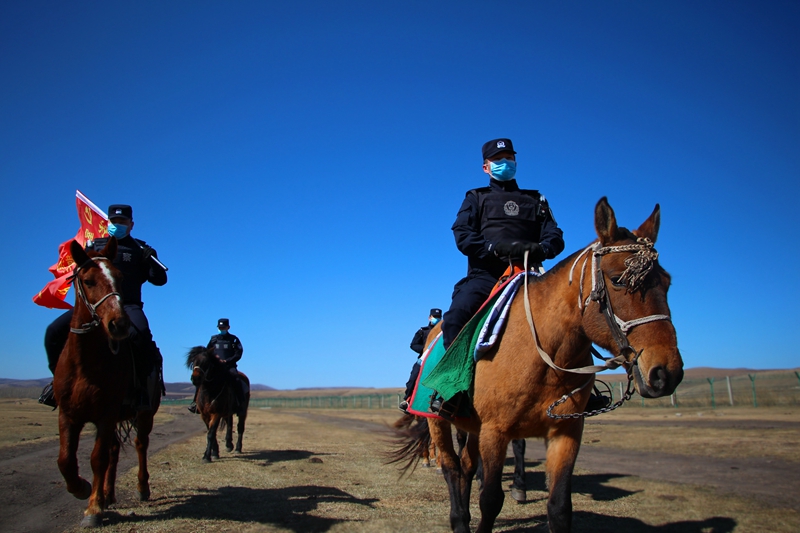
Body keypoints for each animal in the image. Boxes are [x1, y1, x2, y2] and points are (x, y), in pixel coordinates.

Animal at [53, 238, 162, 528]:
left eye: (120, 278)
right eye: (88, 281)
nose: (119, 324)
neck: (85, 364)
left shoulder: (106, 412)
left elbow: (97, 458)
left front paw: (92, 508)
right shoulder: (68, 413)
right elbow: (65, 459)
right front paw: (83, 489)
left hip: (144, 413)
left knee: (139, 444)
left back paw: (140, 489)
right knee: (113, 450)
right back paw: (108, 494)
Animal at [390, 198, 684, 532]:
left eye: (667, 283)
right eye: (618, 279)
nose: (666, 372)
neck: (545, 355)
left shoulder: (566, 432)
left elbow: (559, 507)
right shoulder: (495, 431)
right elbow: (490, 499)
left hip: (472, 425)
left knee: (466, 466)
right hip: (437, 421)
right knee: (452, 467)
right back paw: (459, 520)